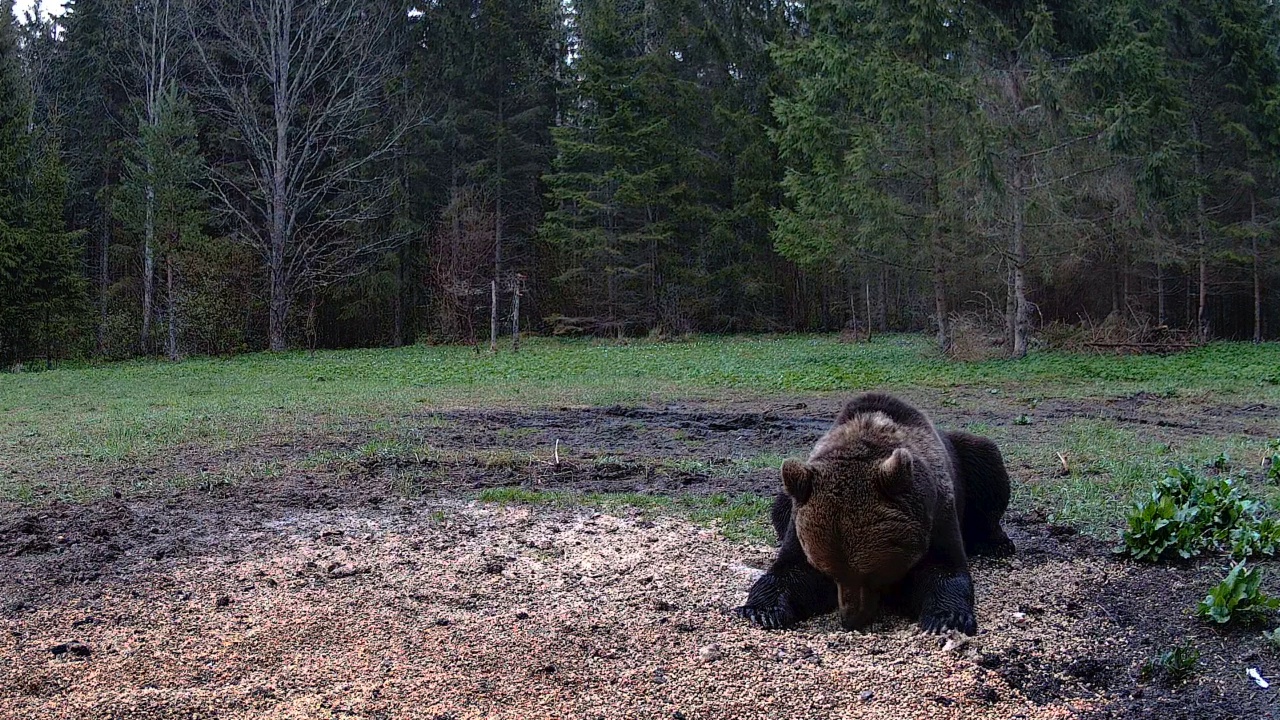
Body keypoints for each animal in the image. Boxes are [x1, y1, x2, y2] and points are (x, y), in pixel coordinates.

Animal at [737, 392, 1013, 632]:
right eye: (829, 573)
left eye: (872, 575)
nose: (851, 619)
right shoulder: (800, 522)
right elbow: (791, 571)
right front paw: (763, 611)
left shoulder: (938, 514)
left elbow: (943, 568)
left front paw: (946, 618)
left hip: (968, 462)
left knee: (986, 461)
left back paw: (996, 542)